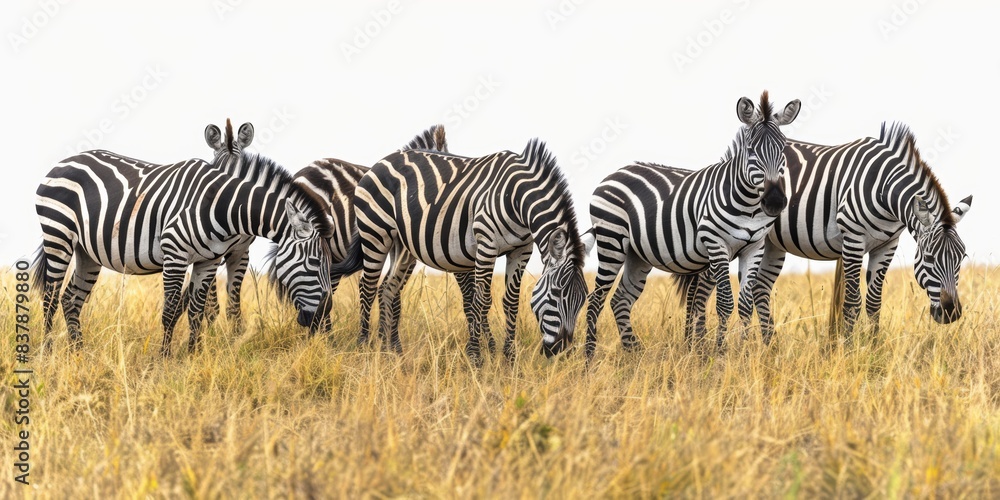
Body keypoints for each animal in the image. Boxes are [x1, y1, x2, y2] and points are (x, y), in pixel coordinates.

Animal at [33, 146, 334, 355]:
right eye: (313, 261)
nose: (324, 314)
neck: (222, 206)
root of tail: (67, 160)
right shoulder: (174, 253)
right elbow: (170, 310)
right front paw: (164, 358)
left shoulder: (208, 261)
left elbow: (196, 312)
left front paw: (192, 354)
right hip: (58, 234)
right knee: (50, 298)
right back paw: (48, 351)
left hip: (87, 252)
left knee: (71, 299)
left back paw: (78, 351)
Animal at [330, 139, 588, 363]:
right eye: (556, 294)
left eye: (583, 300)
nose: (562, 351)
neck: (516, 198)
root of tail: (381, 161)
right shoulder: (486, 244)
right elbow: (481, 301)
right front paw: (476, 357)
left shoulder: (521, 250)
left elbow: (511, 302)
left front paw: (509, 358)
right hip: (375, 233)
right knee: (367, 286)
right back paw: (364, 347)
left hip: (401, 245)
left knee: (387, 288)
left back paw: (391, 353)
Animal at [583, 91, 800, 358]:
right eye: (751, 150)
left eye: (783, 149)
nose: (775, 201)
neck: (749, 207)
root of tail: (614, 172)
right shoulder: (716, 243)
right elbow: (724, 302)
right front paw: (720, 353)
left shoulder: (755, 247)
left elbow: (745, 304)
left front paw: (744, 352)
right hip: (611, 240)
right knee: (595, 299)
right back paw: (589, 357)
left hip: (638, 254)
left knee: (620, 300)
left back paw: (634, 354)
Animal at [731, 122, 972, 340]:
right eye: (929, 258)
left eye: (962, 257)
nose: (951, 313)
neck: (884, 191)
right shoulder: (854, 239)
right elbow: (852, 302)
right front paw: (847, 348)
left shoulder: (887, 245)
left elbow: (874, 303)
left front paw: (874, 348)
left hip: (774, 243)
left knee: (760, 288)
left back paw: (771, 347)